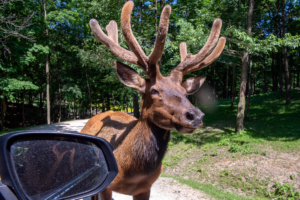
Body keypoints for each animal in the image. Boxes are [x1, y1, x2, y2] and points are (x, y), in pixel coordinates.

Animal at [81, 1, 226, 198]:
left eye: (184, 92)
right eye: (154, 90)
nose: (195, 115)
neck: (130, 171)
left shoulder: (145, 188)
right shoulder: (106, 187)